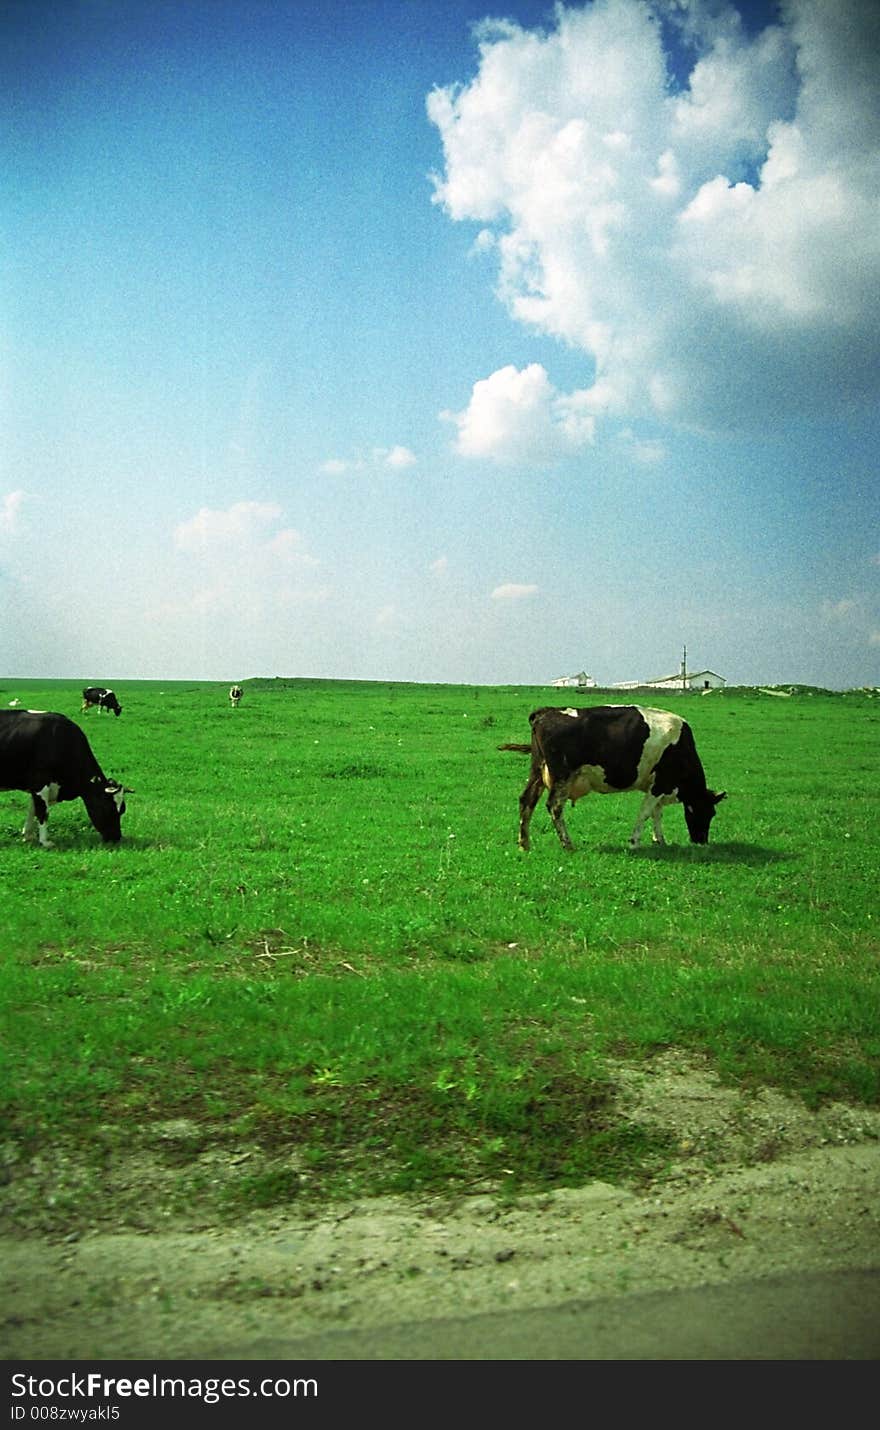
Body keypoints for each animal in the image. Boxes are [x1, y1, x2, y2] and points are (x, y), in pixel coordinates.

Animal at [0, 709, 130, 840]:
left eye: (123, 810)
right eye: (108, 808)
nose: (116, 837)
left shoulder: (36, 787)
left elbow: (32, 810)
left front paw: (28, 836)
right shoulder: (40, 783)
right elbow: (42, 812)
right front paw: (44, 841)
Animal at [497, 703, 726, 846]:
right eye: (708, 812)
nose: (701, 841)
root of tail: (546, 712)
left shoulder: (658, 785)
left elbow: (656, 813)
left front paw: (659, 840)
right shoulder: (661, 783)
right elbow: (645, 813)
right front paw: (634, 842)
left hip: (537, 770)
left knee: (526, 800)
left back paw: (524, 844)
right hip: (562, 775)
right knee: (554, 806)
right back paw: (567, 844)